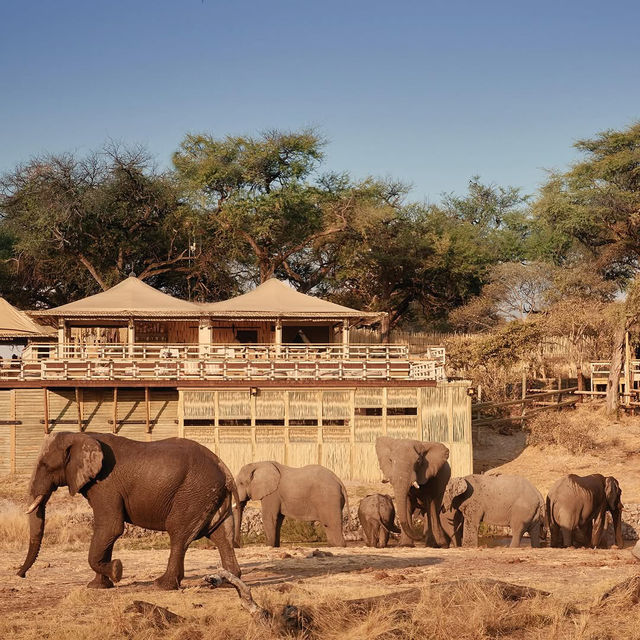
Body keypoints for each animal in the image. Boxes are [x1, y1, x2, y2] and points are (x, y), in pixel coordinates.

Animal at [18, 430, 242, 592]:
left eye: (45, 465)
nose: (21, 575)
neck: (80, 435)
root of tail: (225, 470)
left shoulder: (105, 485)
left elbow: (111, 527)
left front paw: (116, 570)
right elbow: (107, 532)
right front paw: (99, 586)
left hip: (194, 493)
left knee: (178, 534)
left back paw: (161, 585)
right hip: (209, 496)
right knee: (221, 535)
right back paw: (228, 581)